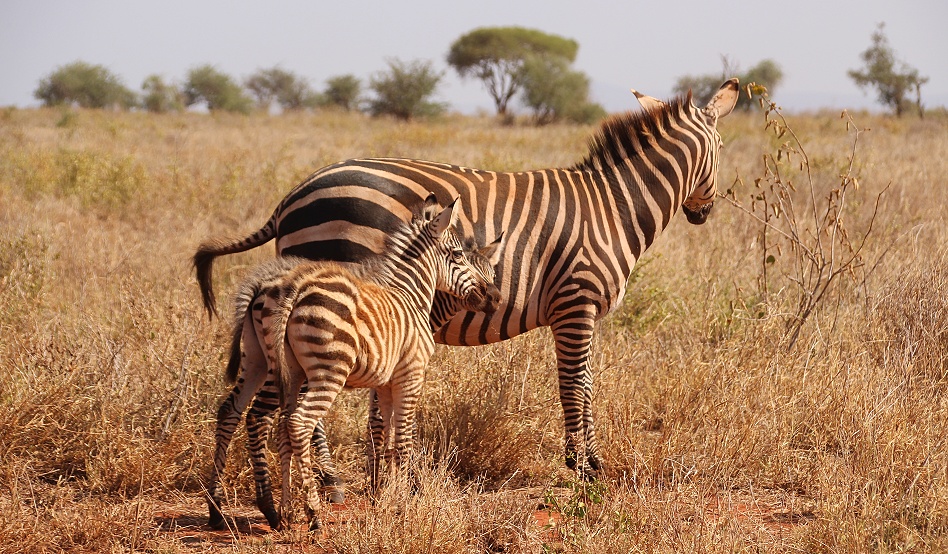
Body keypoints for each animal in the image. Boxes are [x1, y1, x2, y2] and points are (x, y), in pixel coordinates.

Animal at [195, 78, 740, 486]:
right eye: (721, 148)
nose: (703, 212)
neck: (614, 207)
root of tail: (292, 194)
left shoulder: (585, 312)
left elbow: (586, 385)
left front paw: (590, 460)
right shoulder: (575, 301)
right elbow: (573, 384)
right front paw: (583, 468)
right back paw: (323, 479)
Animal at [206, 194, 504, 530]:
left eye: (493, 274)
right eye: (457, 255)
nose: (494, 297)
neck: (411, 295)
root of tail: (291, 287)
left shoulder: (385, 380)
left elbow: (385, 435)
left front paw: (385, 497)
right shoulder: (411, 373)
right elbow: (403, 438)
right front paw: (403, 503)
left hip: (269, 362)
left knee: (251, 416)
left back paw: (265, 511)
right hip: (326, 371)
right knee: (290, 422)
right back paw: (308, 513)